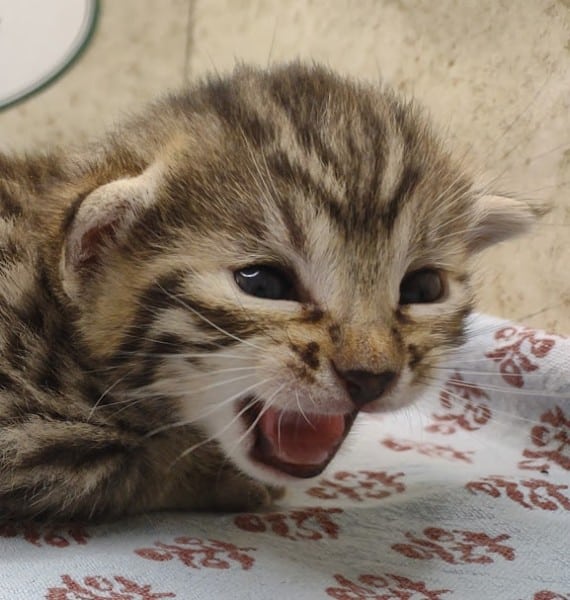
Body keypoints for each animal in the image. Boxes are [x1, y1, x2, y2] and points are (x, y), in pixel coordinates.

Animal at [0, 62, 538, 522]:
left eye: (423, 287)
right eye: (263, 283)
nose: (370, 377)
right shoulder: (31, 434)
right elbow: (136, 460)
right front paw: (230, 482)